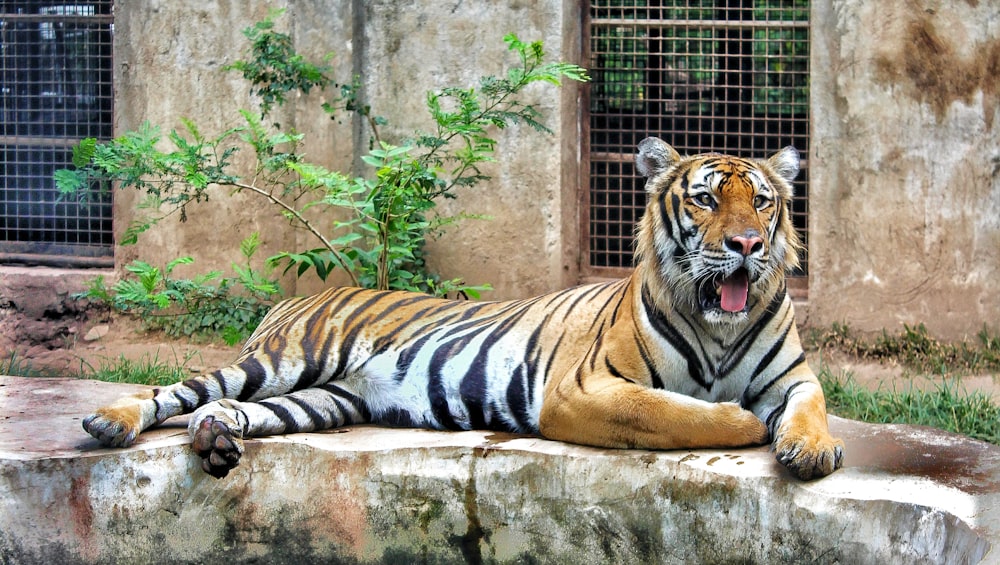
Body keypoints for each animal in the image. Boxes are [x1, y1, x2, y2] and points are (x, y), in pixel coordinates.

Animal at [82, 135, 844, 476]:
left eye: (762, 201)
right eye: (707, 198)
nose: (746, 244)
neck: (721, 328)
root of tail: (300, 296)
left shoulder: (794, 377)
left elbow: (808, 407)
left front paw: (811, 446)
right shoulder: (585, 389)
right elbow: (677, 413)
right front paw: (744, 422)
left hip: (327, 398)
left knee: (230, 409)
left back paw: (216, 437)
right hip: (282, 360)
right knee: (176, 390)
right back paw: (110, 422)